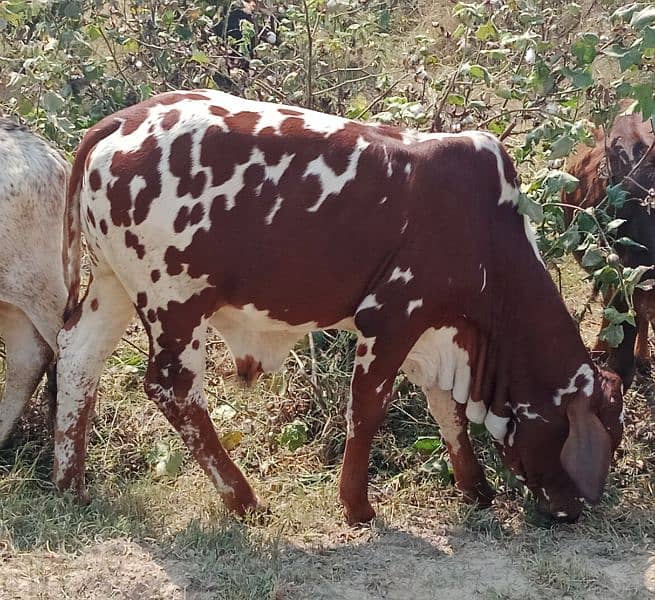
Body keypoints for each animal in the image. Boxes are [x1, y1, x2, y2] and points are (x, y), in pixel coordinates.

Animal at [53, 90, 624, 524]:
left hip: (114, 286)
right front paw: (357, 506)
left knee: (78, 358)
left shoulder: (437, 331)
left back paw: (70, 480)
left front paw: (475, 487)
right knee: (173, 390)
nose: (572, 510)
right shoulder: (393, 316)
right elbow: (367, 410)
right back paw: (242, 498)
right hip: (175, 302)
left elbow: (448, 411)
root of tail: (122, 120)